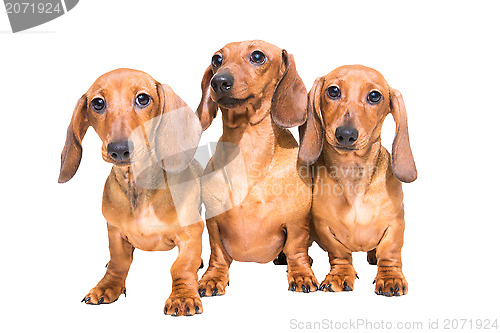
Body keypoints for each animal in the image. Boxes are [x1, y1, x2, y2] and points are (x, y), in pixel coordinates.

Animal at [59, 68, 205, 314]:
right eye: (97, 103)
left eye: (143, 99)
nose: (119, 149)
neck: (138, 187)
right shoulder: (115, 232)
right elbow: (119, 262)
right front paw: (107, 286)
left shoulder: (191, 232)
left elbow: (182, 267)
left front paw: (183, 296)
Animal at [195, 40, 316, 294]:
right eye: (216, 59)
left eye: (257, 56)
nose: (218, 81)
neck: (248, 147)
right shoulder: (213, 221)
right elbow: (217, 254)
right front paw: (213, 277)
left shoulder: (297, 222)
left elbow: (296, 250)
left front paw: (301, 274)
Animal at [298, 65, 416, 296]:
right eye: (333, 91)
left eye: (374, 96)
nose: (345, 134)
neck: (352, 177)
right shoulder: (324, 227)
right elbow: (340, 253)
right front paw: (340, 275)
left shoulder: (396, 224)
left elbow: (390, 252)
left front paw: (390, 278)